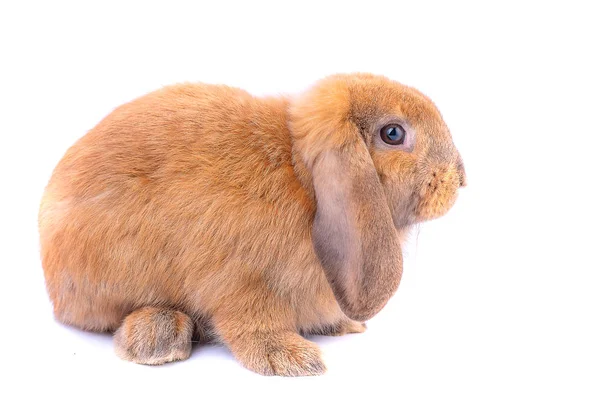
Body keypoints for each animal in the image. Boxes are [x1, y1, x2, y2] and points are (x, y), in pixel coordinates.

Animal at [38, 73, 468, 378]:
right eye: (393, 133)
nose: (461, 178)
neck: (303, 180)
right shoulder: (240, 281)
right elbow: (252, 321)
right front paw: (292, 360)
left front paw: (343, 326)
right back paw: (158, 339)